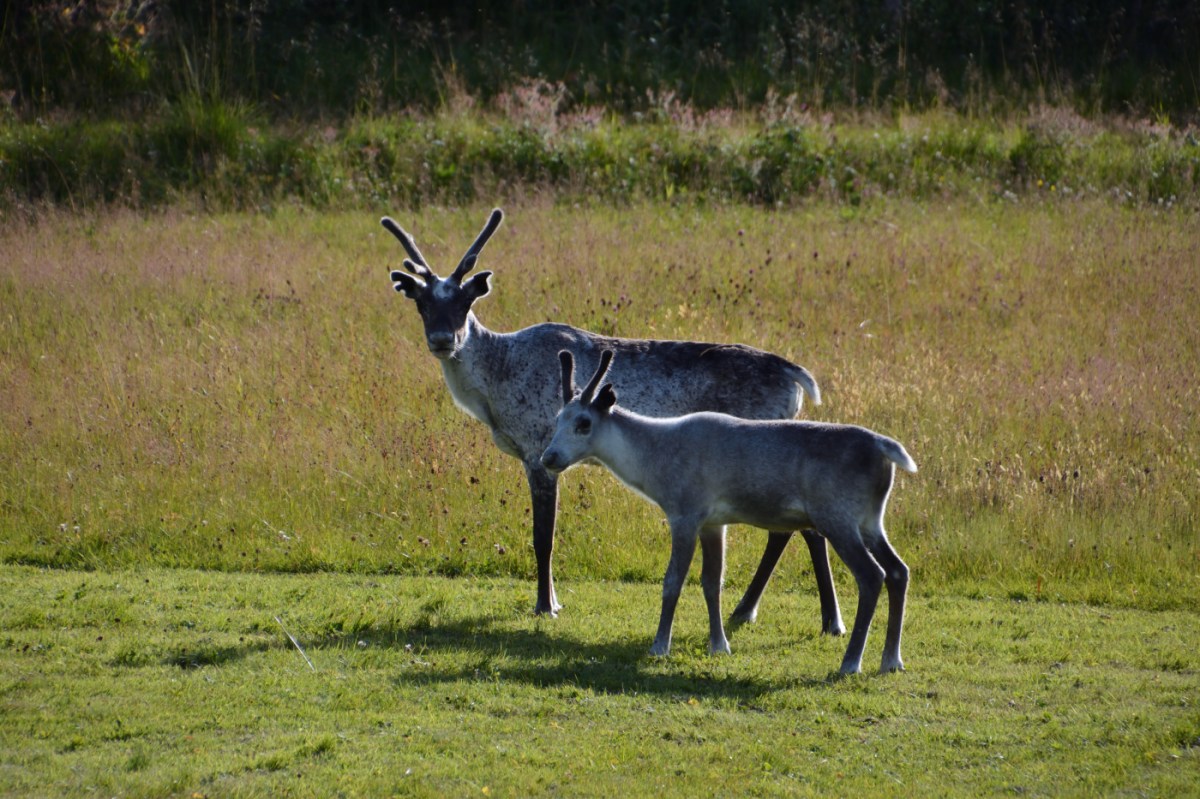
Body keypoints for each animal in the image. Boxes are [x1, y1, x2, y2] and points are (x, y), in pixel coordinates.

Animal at [381, 208, 844, 635]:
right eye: (422, 303)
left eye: (466, 302)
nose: (444, 340)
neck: (495, 382)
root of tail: (795, 375)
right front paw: (553, 600)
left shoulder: (537, 452)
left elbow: (543, 537)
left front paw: (545, 606)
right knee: (791, 529)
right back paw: (757, 611)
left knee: (802, 529)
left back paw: (822, 620)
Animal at [541, 350, 916, 675]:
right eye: (558, 418)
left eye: (584, 423)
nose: (549, 457)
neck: (653, 460)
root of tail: (885, 449)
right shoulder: (714, 523)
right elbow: (711, 582)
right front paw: (719, 645)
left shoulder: (684, 513)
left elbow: (673, 581)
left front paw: (660, 645)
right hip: (871, 521)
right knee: (899, 570)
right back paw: (891, 661)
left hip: (838, 519)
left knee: (872, 575)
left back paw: (851, 663)